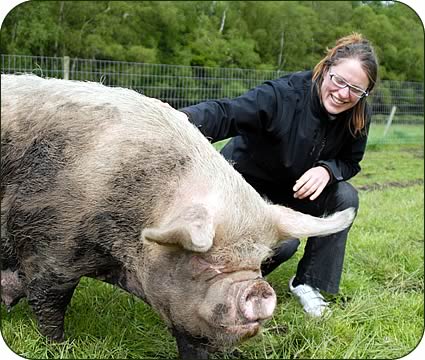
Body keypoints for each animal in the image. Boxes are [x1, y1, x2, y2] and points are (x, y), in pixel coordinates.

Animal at [0, 74, 354, 358]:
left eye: (259, 262)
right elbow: (48, 300)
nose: (259, 290)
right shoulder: (51, 240)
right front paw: (61, 346)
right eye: (203, 259)